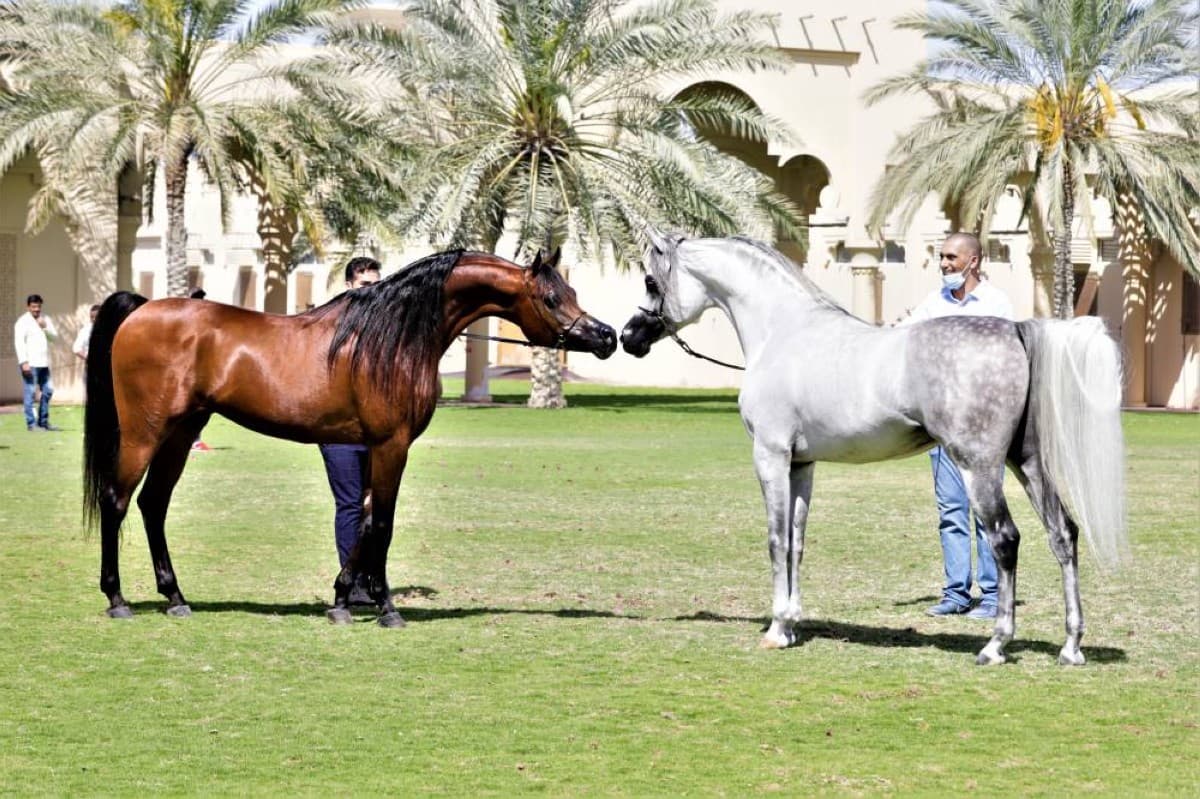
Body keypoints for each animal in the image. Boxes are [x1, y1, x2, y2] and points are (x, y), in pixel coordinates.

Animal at [84, 249, 617, 627]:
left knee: (153, 504)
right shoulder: (391, 445)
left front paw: (342, 598)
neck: (393, 340)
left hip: (181, 432)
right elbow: (381, 523)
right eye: (551, 298)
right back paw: (117, 598)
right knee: (117, 500)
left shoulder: (379, 449)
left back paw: (175, 596)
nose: (607, 337)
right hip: (145, 432)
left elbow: (363, 522)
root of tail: (142, 310)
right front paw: (386, 608)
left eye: (571, 288)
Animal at [619, 231, 1126, 665]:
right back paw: (1071, 646)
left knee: (1005, 539)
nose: (628, 336)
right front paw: (792, 625)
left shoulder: (771, 456)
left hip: (979, 465)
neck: (784, 330)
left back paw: (995, 645)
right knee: (1063, 534)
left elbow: (776, 539)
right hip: (1026, 461)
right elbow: (797, 541)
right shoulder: (802, 464)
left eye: (650, 280)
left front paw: (776, 629)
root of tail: (1015, 330)